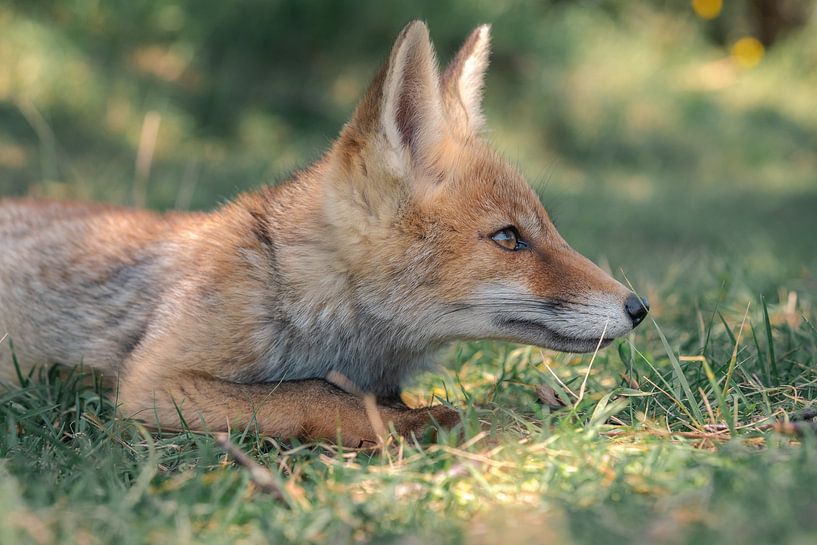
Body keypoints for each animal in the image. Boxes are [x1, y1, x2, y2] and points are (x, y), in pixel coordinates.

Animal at [1, 21, 652, 446]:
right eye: (509, 238)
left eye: (547, 228)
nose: (639, 307)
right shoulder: (154, 384)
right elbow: (309, 392)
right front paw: (421, 423)